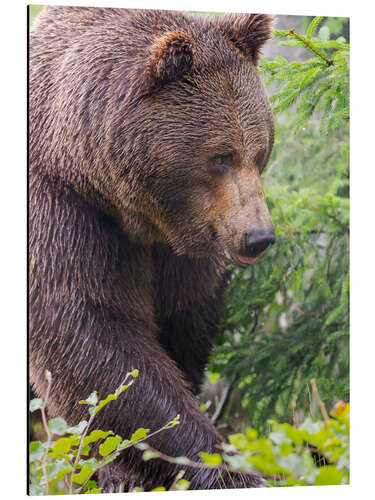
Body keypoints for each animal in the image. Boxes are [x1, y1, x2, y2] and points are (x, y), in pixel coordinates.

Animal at [28, 6, 276, 492]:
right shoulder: (61, 209)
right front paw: (223, 468)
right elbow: (91, 334)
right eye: (221, 157)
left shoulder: (185, 245)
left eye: (260, 152)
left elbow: (184, 319)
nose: (258, 236)